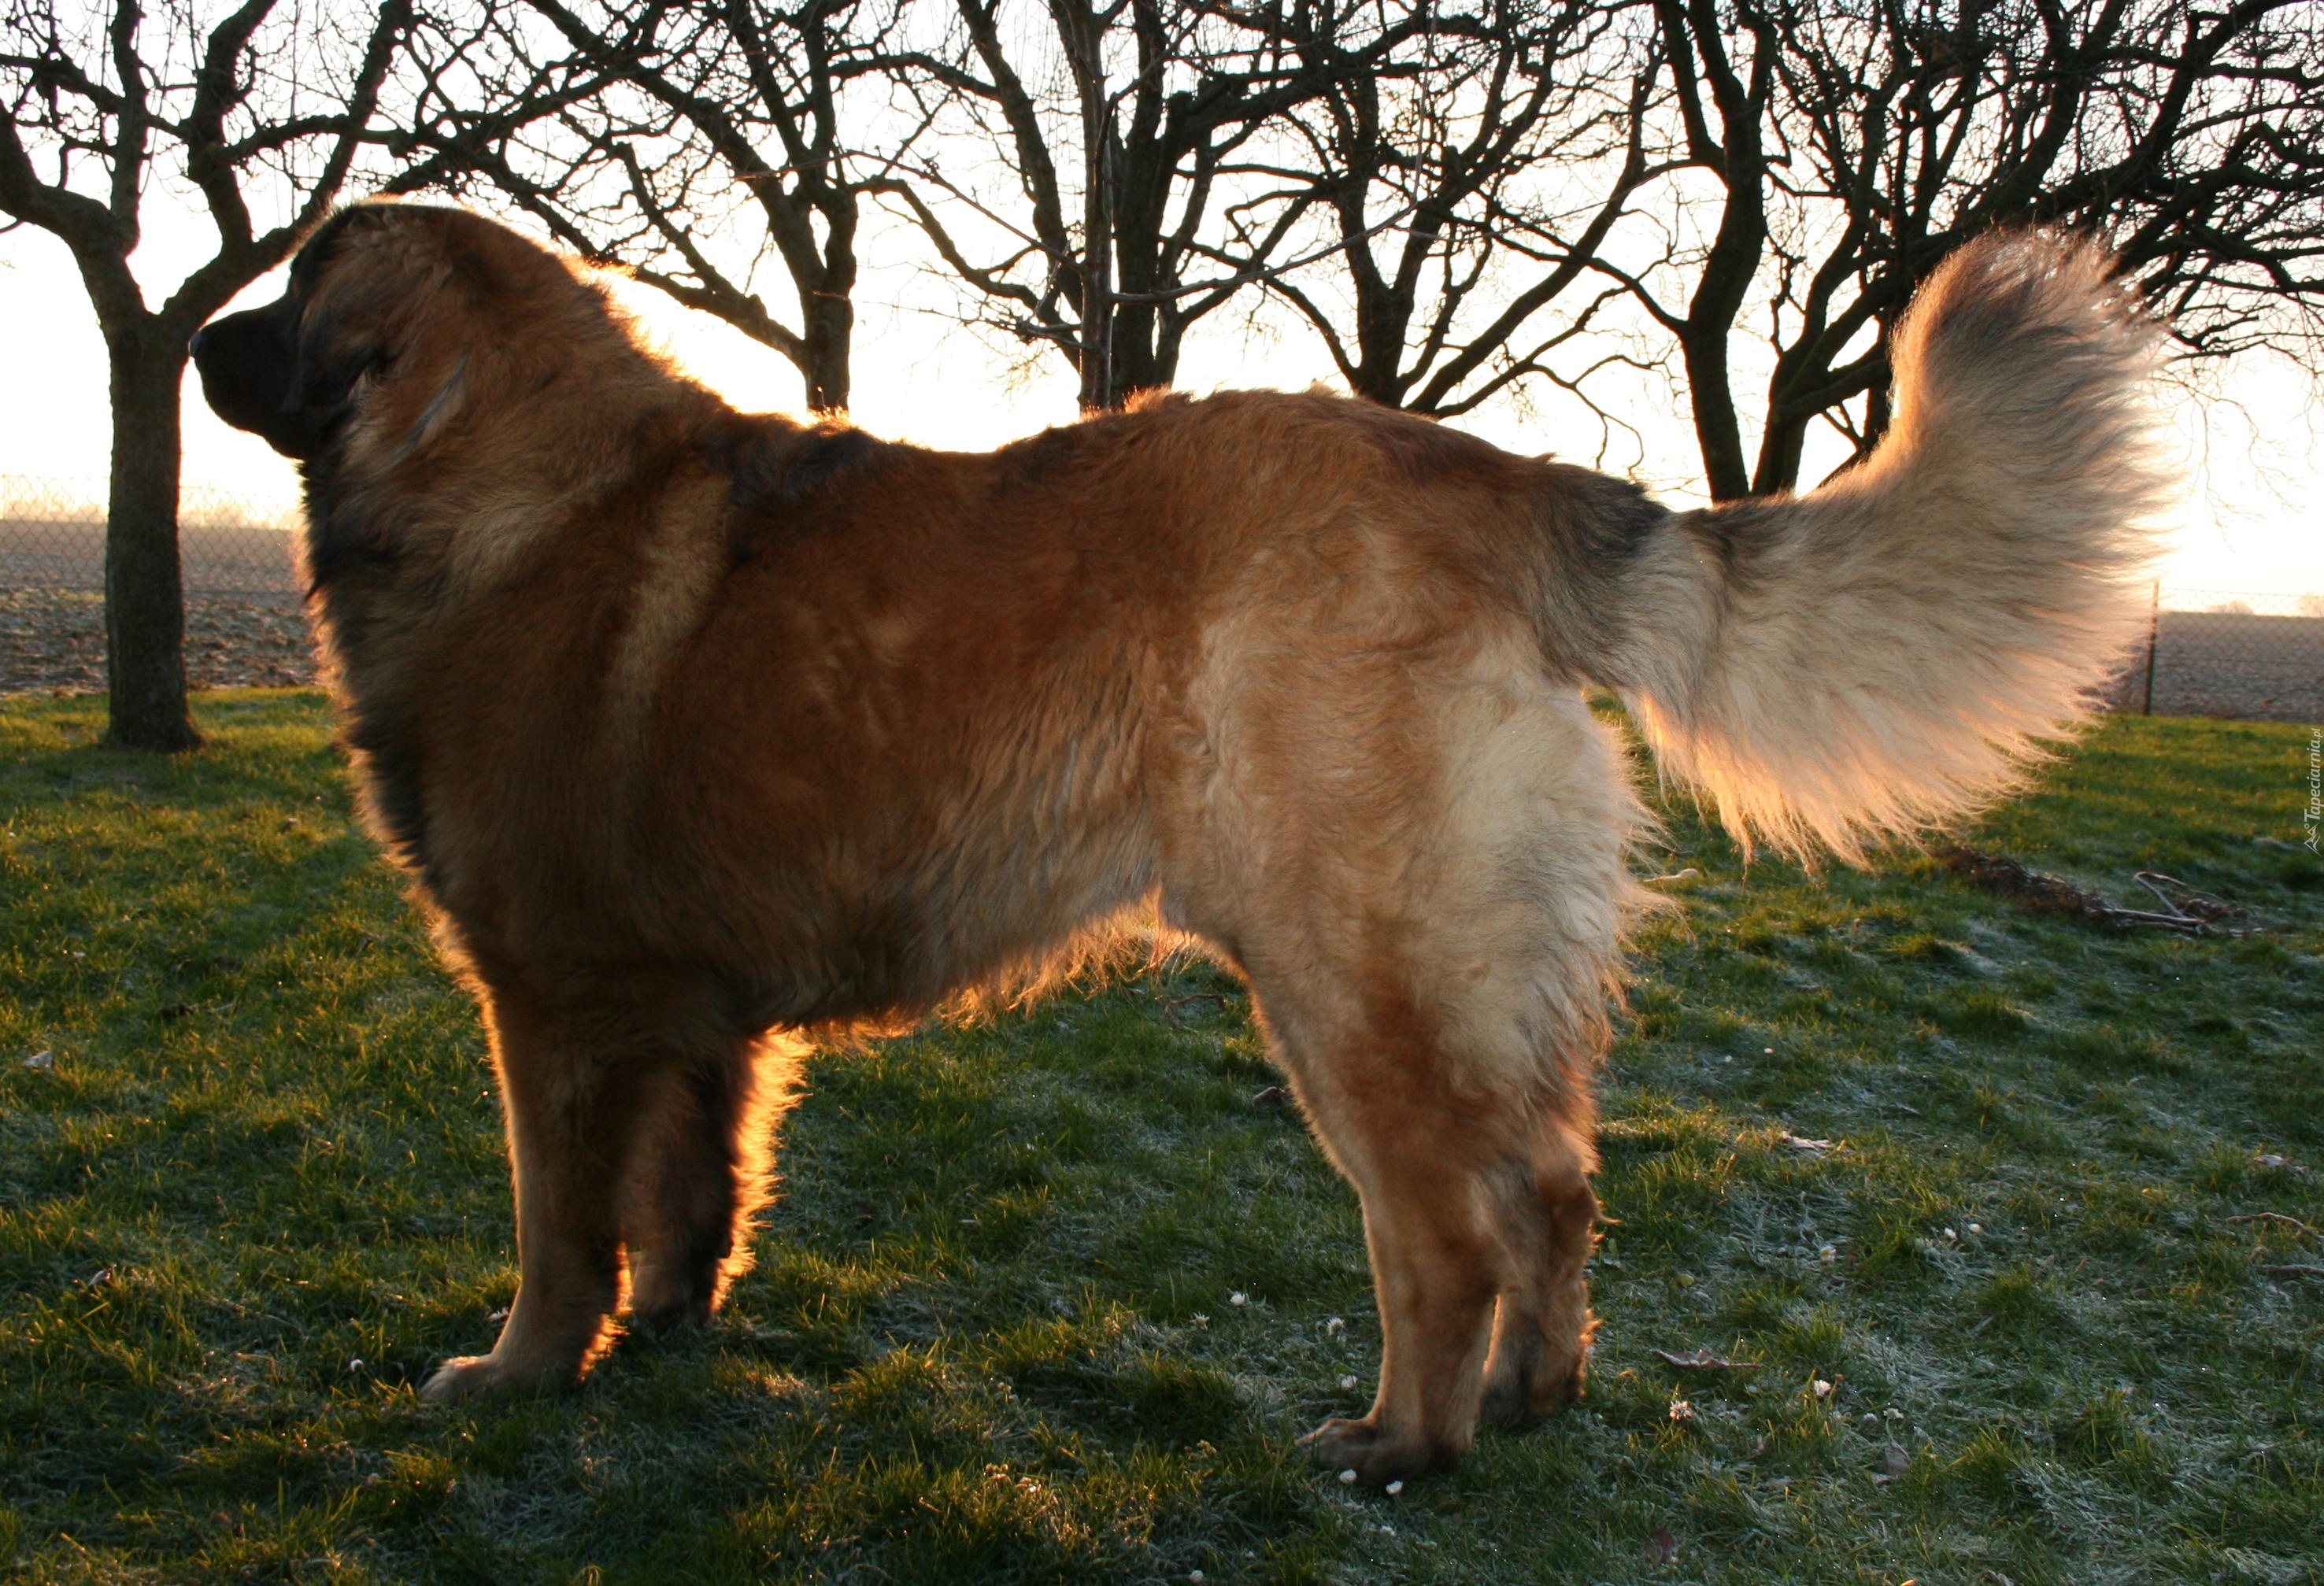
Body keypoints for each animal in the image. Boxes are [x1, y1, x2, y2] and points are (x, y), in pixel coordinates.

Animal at [191, 201, 2166, 1486]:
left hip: (1342, 971)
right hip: (1440, 976)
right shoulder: (686, 1009)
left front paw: (517, 1371)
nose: (197, 326)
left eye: (298, 282)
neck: (512, 486)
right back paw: (1532, 1398)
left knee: (1442, 1227)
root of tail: (1500, 478)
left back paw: (1401, 1441)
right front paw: (666, 1338)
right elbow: (690, 1194)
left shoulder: (552, 998)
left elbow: (558, 1222)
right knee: (1550, 1183)